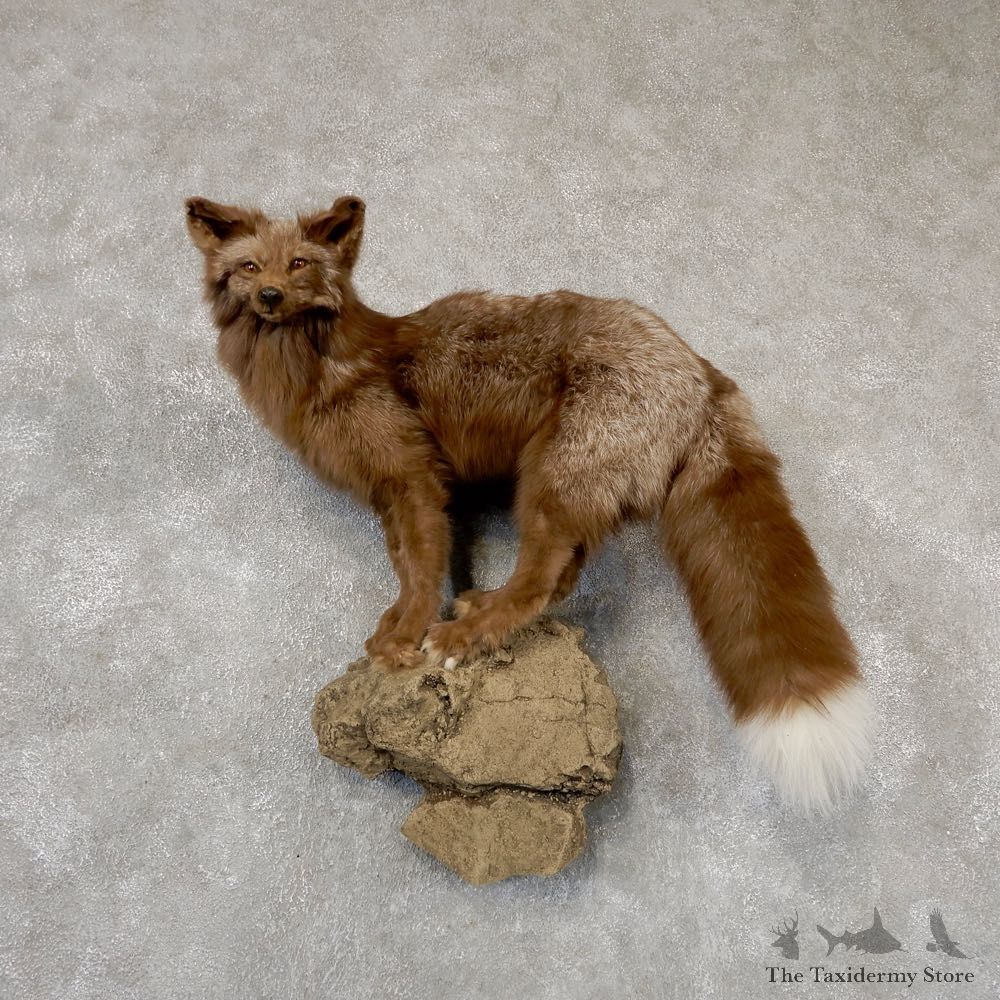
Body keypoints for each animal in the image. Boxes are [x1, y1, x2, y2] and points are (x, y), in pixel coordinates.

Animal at [185, 193, 875, 813]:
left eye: (299, 263)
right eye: (250, 267)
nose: (270, 296)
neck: (319, 371)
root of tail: (698, 368)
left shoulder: (414, 479)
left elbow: (422, 570)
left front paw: (408, 640)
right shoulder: (389, 495)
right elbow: (407, 567)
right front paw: (393, 631)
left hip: (548, 481)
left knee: (541, 581)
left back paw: (466, 635)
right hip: (572, 490)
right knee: (561, 575)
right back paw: (480, 607)